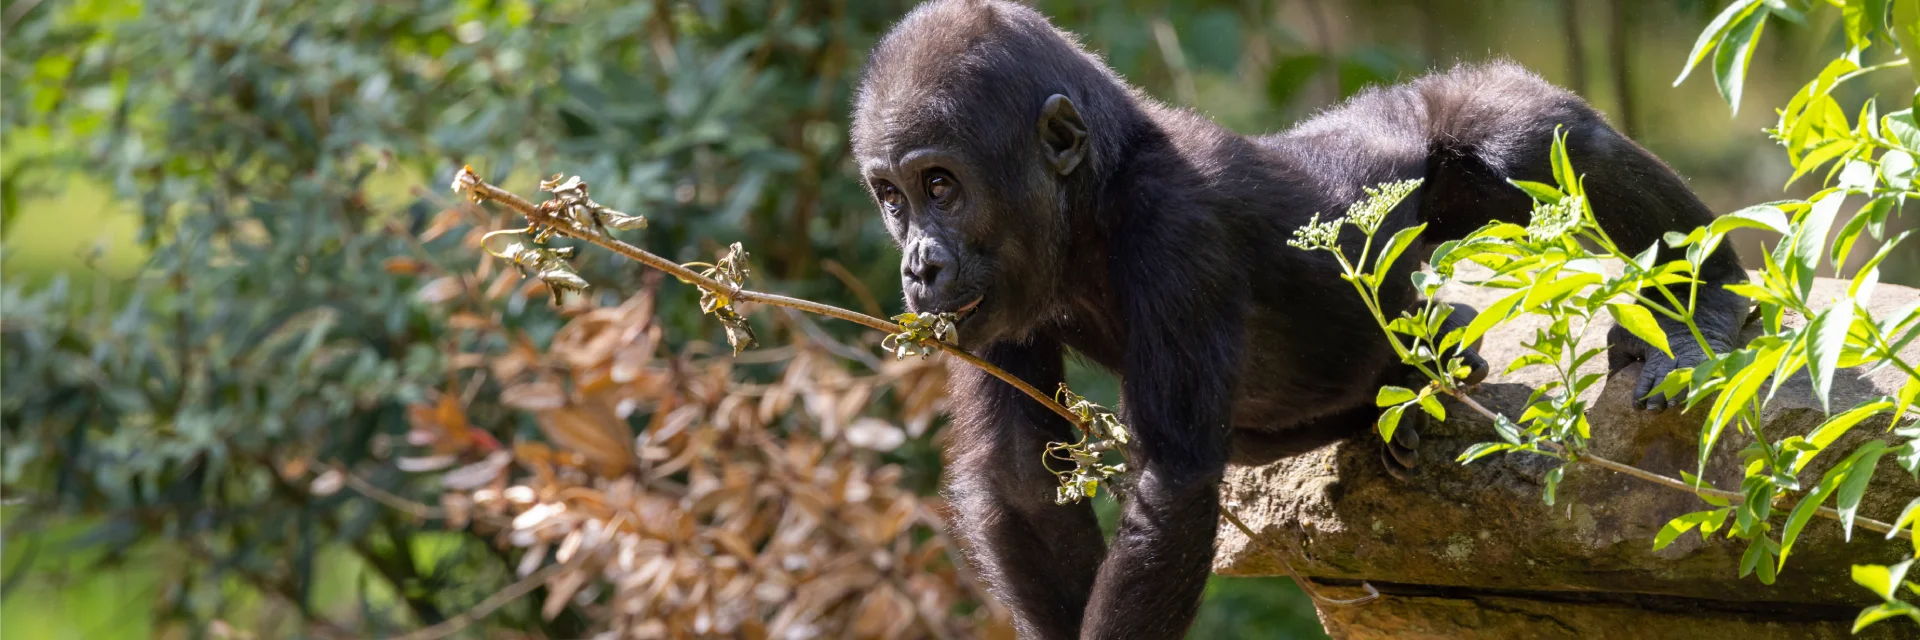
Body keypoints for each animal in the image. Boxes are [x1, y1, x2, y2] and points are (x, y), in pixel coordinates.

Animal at [848, 2, 1751, 634]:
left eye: (940, 186)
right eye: (890, 197)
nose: (919, 266)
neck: (1099, 186)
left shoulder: (1175, 230)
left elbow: (1173, 483)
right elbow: (1021, 483)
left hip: (1427, 131)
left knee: (1527, 136)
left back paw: (1706, 304)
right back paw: (1434, 364)